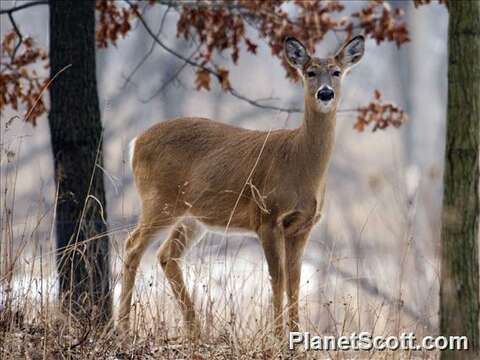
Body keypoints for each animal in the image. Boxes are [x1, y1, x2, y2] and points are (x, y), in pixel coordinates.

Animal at [118, 35, 366, 338]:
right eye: (310, 72)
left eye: (336, 72)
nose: (326, 93)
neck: (299, 160)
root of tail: (135, 143)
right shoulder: (267, 216)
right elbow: (277, 278)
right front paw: (278, 338)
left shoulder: (303, 226)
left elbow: (294, 281)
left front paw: (295, 337)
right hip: (158, 199)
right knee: (132, 245)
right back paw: (122, 329)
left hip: (192, 217)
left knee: (167, 255)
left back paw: (195, 332)